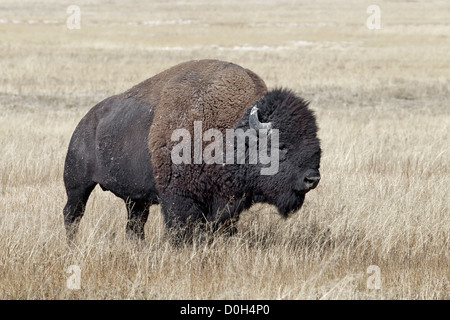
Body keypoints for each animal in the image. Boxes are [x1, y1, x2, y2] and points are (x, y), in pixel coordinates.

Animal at [64, 58, 324, 241]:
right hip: (77, 186)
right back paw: (71, 246)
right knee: (72, 215)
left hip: (135, 200)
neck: (232, 134)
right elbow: (181, 234)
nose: (312, 179)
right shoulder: (179, 202)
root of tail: (85, 122)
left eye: (316, 146)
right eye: (281, 146)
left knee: (134, 226)